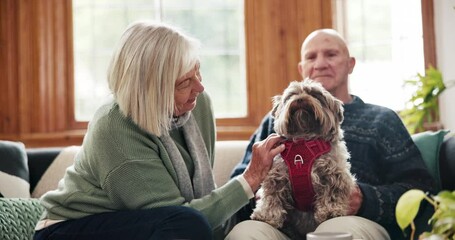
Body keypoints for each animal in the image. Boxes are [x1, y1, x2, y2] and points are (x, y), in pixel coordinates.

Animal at [251, 79, 358, 238]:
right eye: (291, 95)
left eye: (315, 94)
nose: (300, 99)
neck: (303, 140)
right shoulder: (276, 178)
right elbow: (272, 198)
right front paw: (266, 216)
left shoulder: (334, 175)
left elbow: (332, 195)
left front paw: (331, 211)